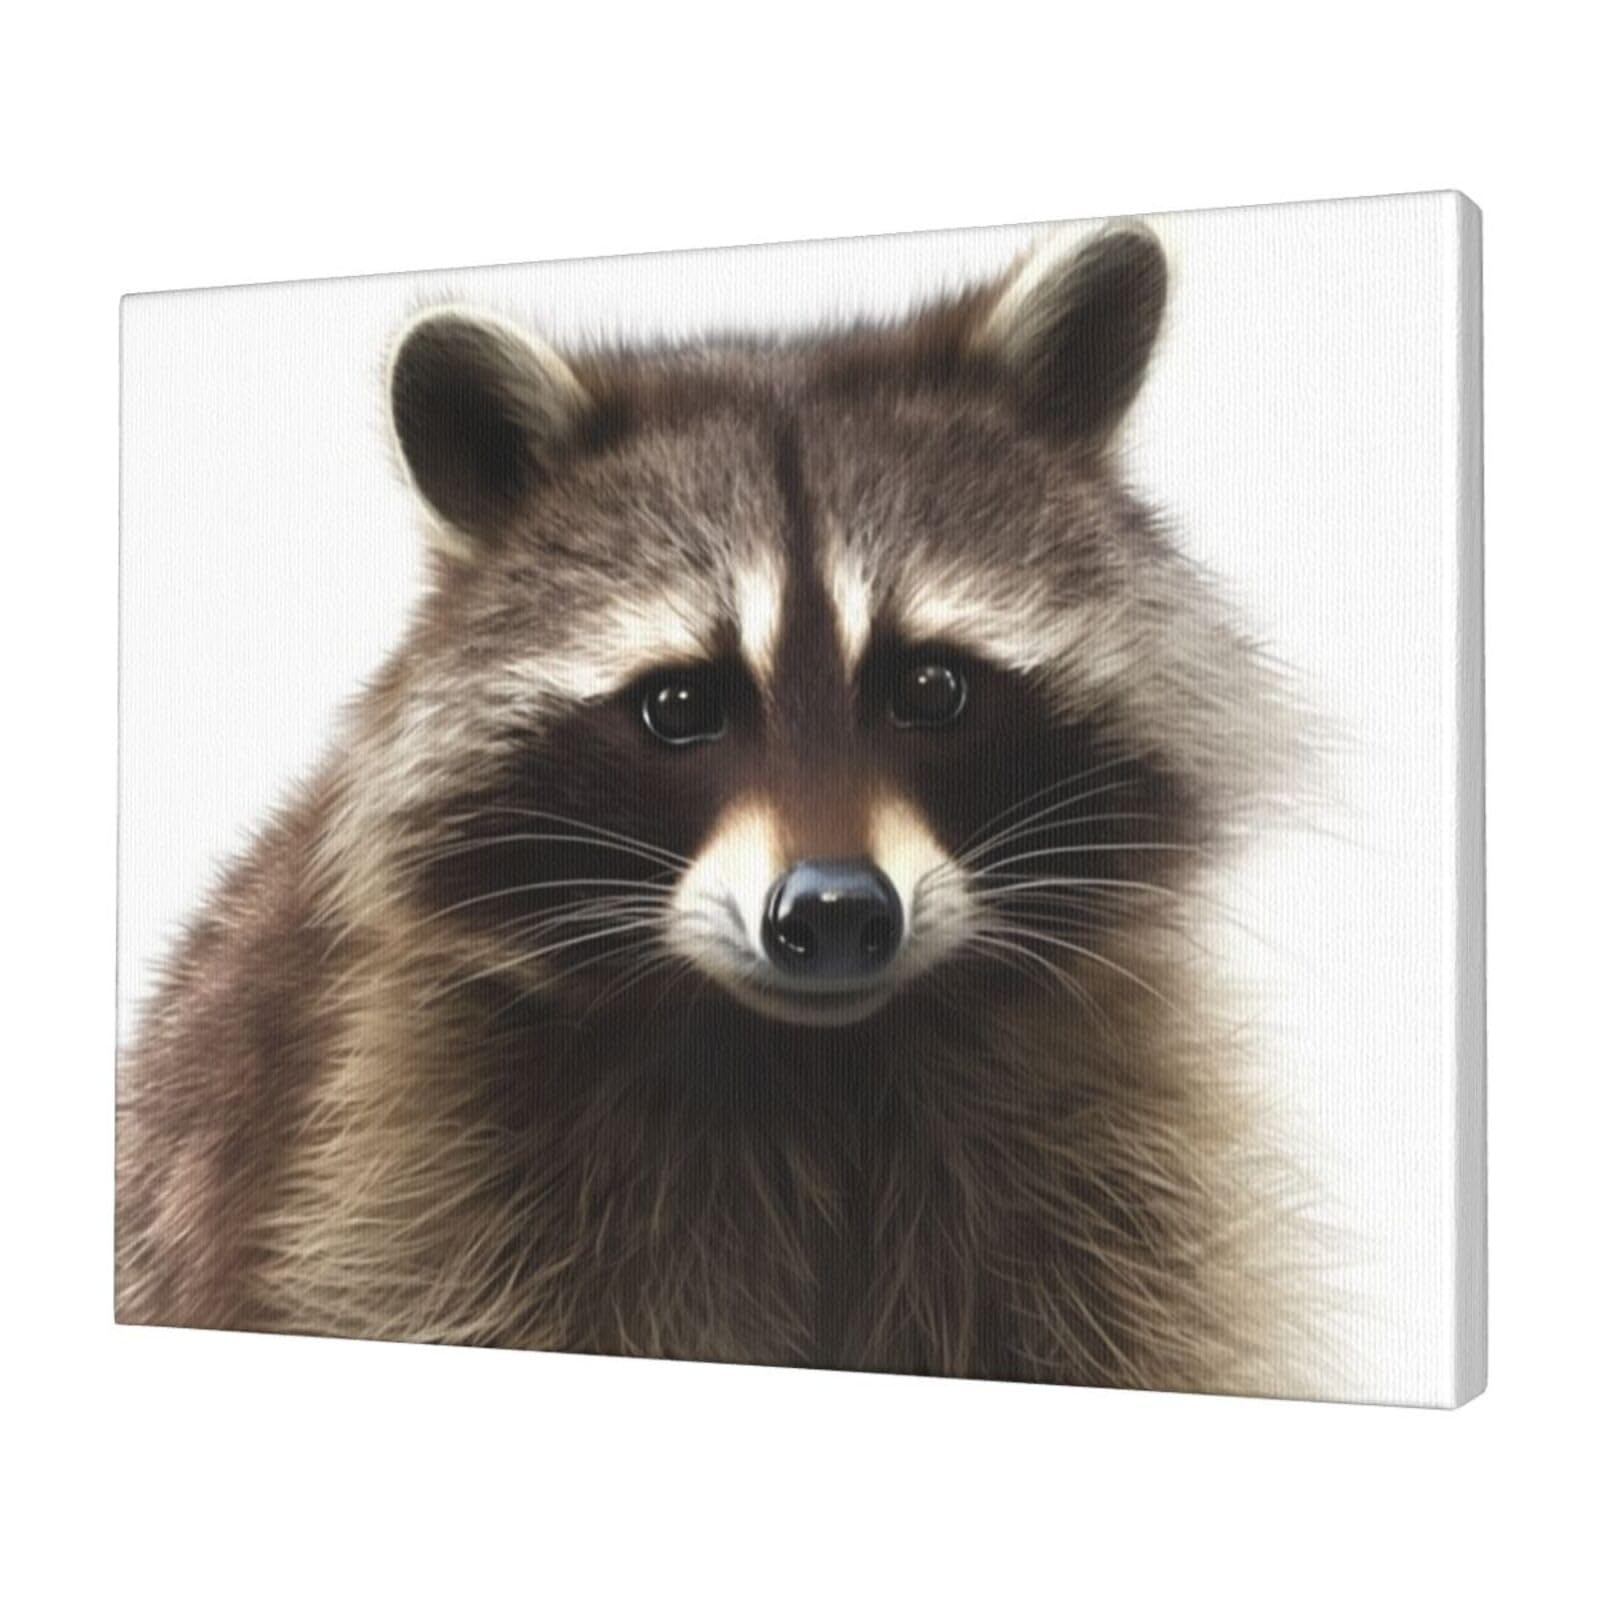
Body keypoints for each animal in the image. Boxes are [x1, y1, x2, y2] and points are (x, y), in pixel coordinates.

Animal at [117, 223, 1303, 1393]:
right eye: (682, 704)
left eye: (930, 687)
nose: (834, 912)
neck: (815, 1062)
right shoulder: (394, 1157)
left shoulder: (1115, 1145)